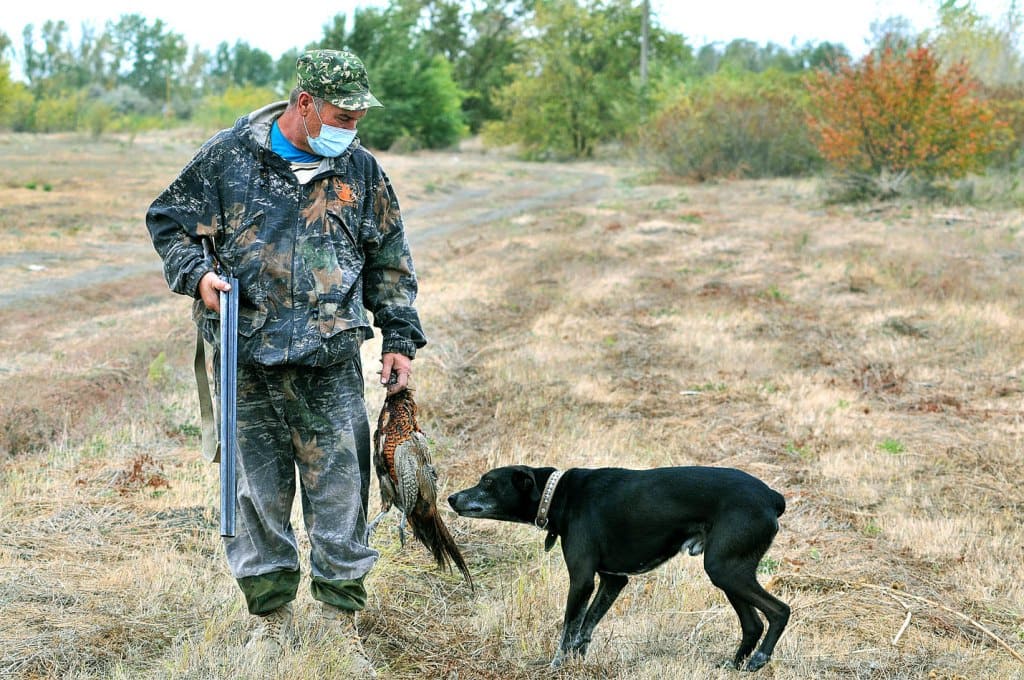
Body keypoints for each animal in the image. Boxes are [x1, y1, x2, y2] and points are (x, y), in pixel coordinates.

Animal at [448, 464, 790, 671]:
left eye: (488, 482)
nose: (451, 498)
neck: (559, 493)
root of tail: (772, 498)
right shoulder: (613, 580)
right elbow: (585, 628)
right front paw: (579, 662)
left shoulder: (582, 580)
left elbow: (568, 628)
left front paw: (557, 667)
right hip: (728, 572)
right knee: (752, 624)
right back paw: (735, 666)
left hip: (725, 569)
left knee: (779, 611)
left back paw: (759, 659)